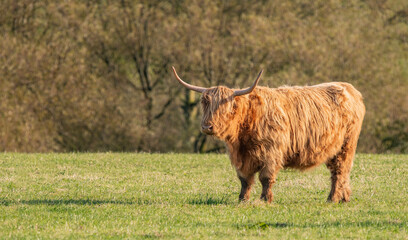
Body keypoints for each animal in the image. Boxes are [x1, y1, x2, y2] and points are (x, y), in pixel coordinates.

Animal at [171, 66, 364, 203]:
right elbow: (245, 180)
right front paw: (242, 200)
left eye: (225, 106)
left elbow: (265, 178)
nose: (207, 126)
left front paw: (265, 200)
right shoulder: (242, 158)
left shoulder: (271, 153)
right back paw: (344, 198)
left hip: (346, 145)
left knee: (340, 171)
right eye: (204, 103)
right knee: (340, 173)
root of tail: (349, 88)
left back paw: (332, 199)